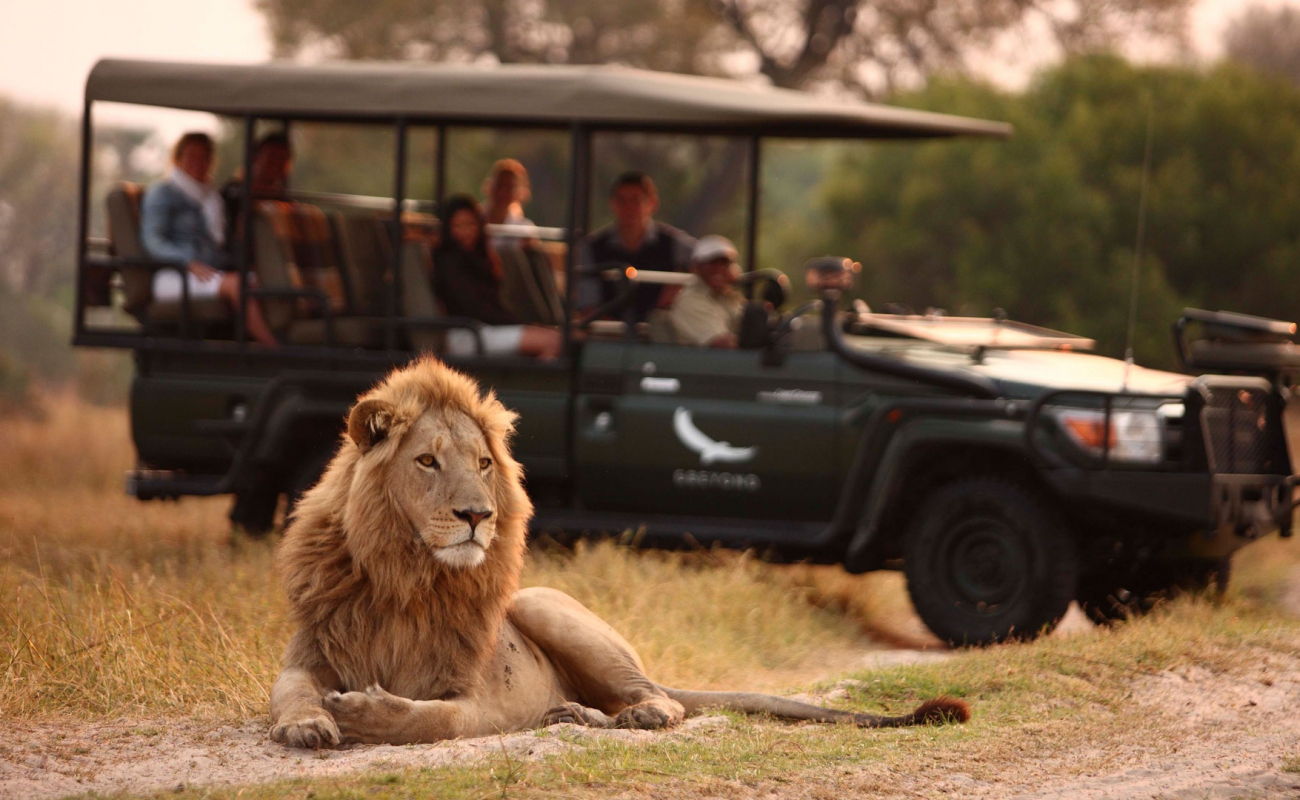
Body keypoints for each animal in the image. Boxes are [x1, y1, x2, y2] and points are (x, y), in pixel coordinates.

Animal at [269, 356, 969, 748]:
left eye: (484, 464)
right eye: (426, 462)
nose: (478, 516)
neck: (407, 578)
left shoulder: (478, 702)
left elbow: (432, 720)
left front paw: (365, 714)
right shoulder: (309, 652)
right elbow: (291, 690)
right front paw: (306, 722)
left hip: (549, 606)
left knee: (663, 699)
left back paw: (620, 717)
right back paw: (572, 715)